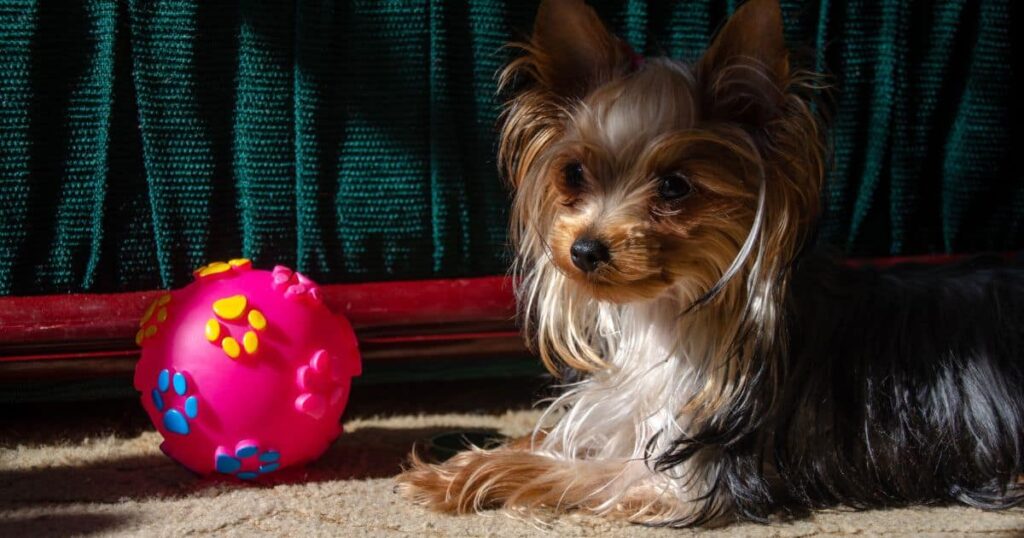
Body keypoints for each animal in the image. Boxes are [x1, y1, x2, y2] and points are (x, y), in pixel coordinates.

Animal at [397, 0, 1024, 524]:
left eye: (676, 187)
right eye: (573, 174)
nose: (584, 249)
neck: (667, 315)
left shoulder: (686, 473)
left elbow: (566, 471)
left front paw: (468, 474)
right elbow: (540, 439)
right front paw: (450, 463)